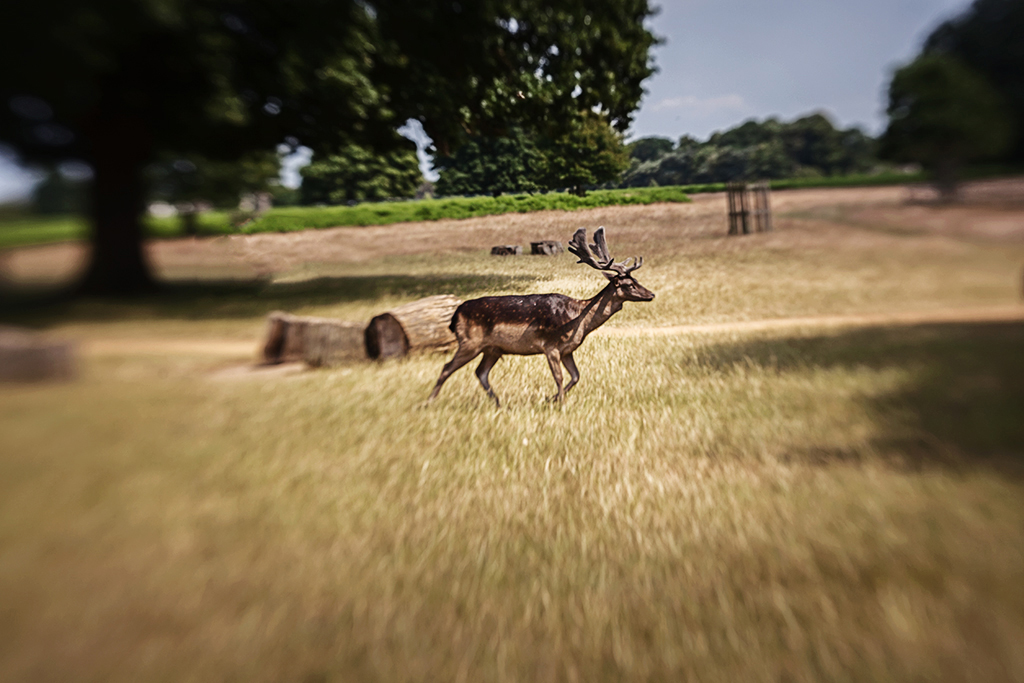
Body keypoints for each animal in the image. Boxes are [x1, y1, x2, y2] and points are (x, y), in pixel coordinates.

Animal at [427, 227, 655, 406]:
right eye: (629, 284)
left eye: (636, 280)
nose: (651, 294)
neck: (577, 318)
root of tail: (455, 315)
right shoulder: (550, 346)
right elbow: (559, 377)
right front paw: (561, 404)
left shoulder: (567, 350)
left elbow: (576, 376)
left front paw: (550, 399)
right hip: (470, 342)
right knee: (447, 367)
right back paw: (429, 402)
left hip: (493, 349)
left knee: (480, 372)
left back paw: (499, 403)